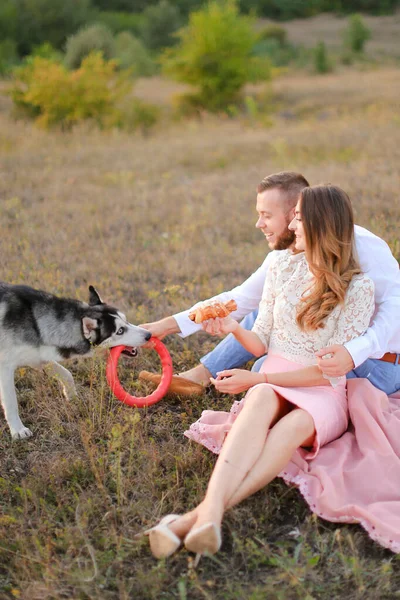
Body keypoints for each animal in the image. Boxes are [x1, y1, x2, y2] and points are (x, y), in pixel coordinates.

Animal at [0, 284, 150, 438]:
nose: (148, 335)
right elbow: (11, 401)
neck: (35, 323)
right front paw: (18, 430)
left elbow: (67, 374)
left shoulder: (37, 356)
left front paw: (71, 396)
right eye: (120, 331)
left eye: (126, 320)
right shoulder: (5, 367)